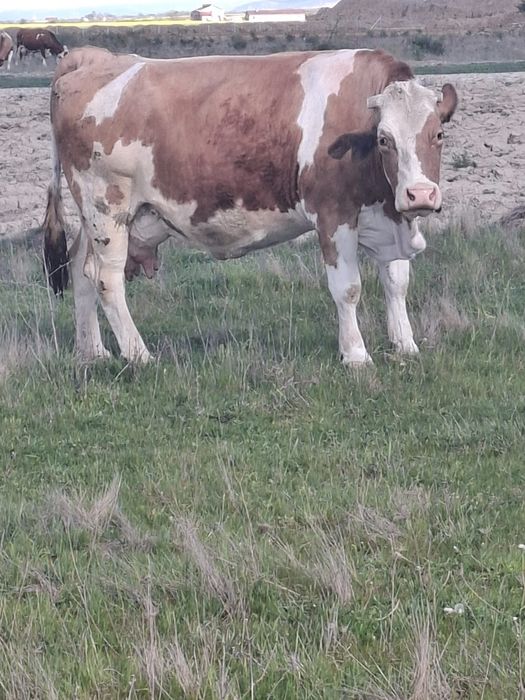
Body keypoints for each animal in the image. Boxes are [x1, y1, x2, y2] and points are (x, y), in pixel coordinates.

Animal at [42, 46, 457, 365]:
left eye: (438, 134)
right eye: (385, 139)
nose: (420, 194)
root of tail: (95, 59)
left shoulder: (387, 214)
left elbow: (397, 281)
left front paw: (405, 344)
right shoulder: (333, 214)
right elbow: (348, 288)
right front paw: (355, 355)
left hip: (98, 217)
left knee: (81, 269)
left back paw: (92, 351)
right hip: (106, 206)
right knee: (106, 279)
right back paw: (139, 355)